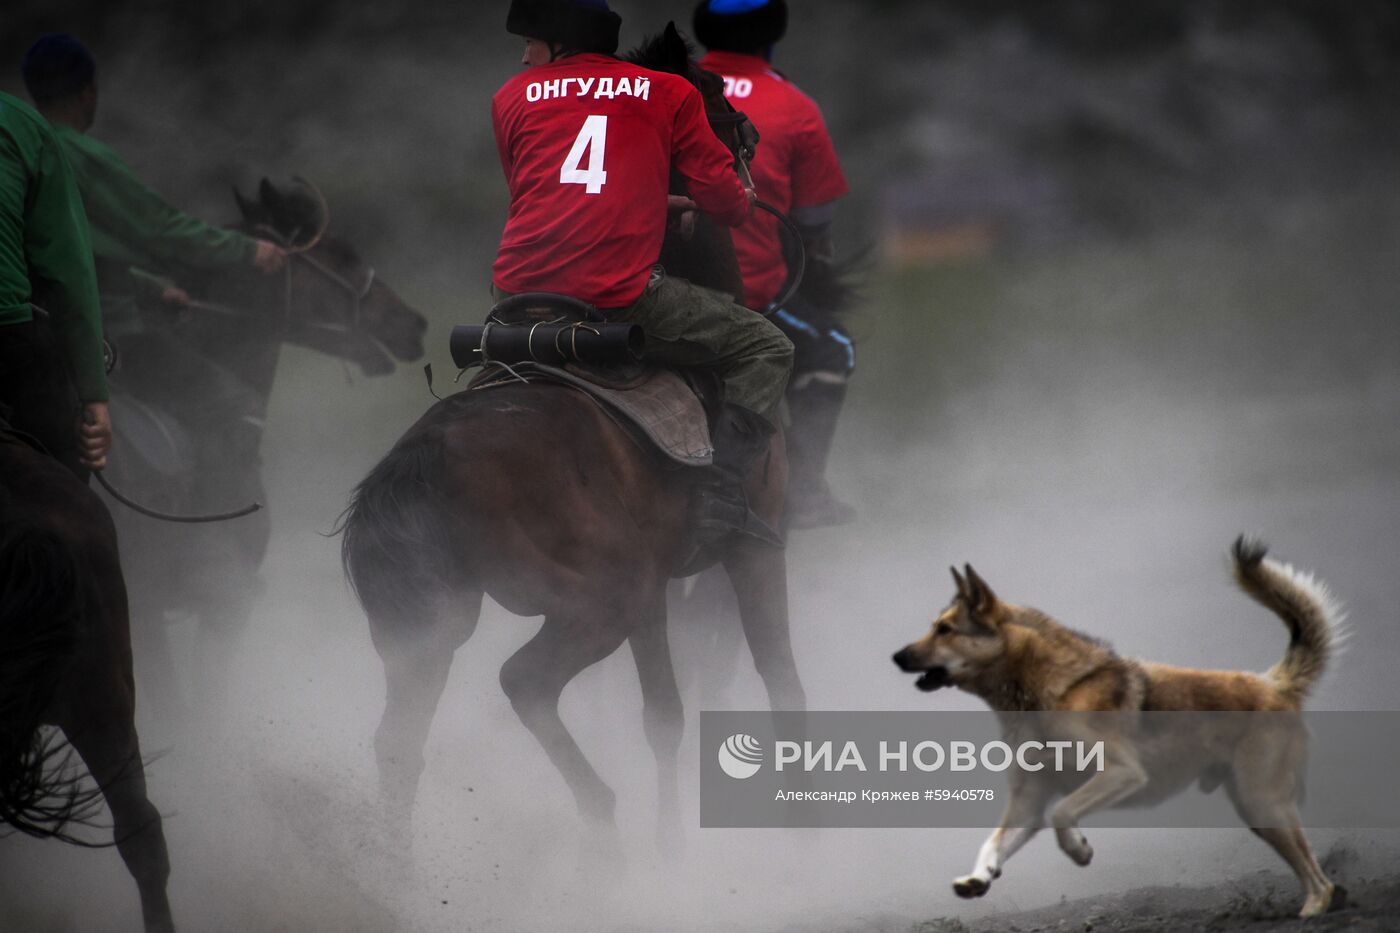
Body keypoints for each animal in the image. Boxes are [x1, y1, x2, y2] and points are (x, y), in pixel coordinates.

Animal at [341, 27, 812, 840]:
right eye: (716, 102)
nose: (748, 150)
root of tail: (429, 456)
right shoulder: (754, 549)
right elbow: (780, 679)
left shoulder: (658, 588)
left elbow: (664, 715)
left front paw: (672, 845)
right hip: (599, 596)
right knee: (523, 681)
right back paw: (604, 827)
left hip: (431, 627)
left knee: (400, 741)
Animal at [896, 537, 1344, 913]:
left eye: (945, 630)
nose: (895, 656)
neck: (1045, 694)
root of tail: (1275, 684)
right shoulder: (1027, 803)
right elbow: (993, 843)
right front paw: (979, 878)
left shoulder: (1120, 772)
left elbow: (1063, 814)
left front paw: (1079, 850)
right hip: (1256, 810)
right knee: (1314, 874)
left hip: (1261, 801)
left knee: (1319, 882)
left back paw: (1312, 911)